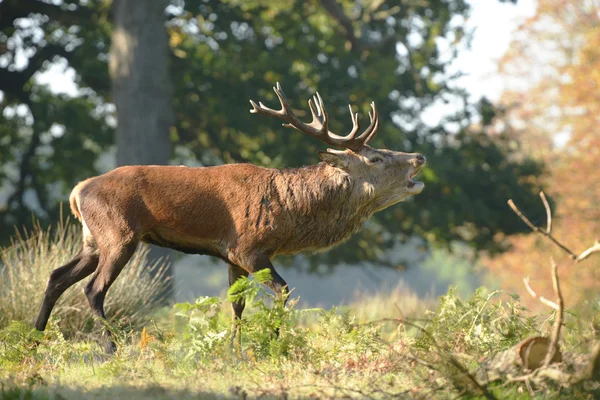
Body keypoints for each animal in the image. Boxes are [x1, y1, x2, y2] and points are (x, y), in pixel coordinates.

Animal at [34, 83, 426, 352]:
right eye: (375, 158)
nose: (419, 157)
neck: (288, 211)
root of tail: (77, 191)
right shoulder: (248, 247)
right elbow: (282, 291)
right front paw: (272, 345)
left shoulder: (231, 256)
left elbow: (236, 304)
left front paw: (233, 351)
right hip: (119, 234)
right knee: (93, 288)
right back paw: (112, 347)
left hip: (92, 240)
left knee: (56, 276)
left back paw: (34, 338)